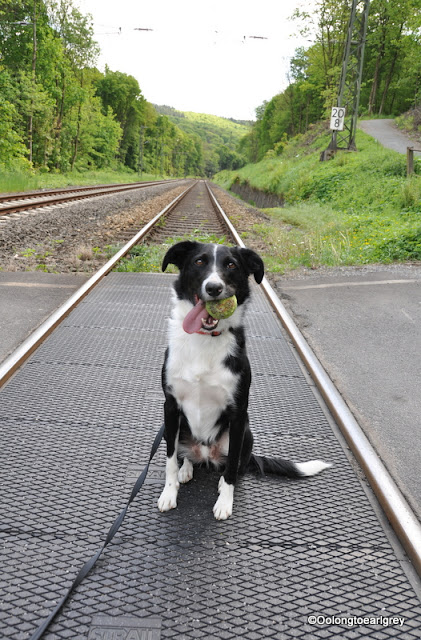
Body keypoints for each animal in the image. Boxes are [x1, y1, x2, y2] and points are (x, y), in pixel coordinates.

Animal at [157, 241, 328, 520]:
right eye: (199, 261)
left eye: (231, 265)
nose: (214, 288)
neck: (205, 341)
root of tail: (206, 454)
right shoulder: (170, 407)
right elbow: (170, 460)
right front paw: (169, 493)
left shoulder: (238, 413)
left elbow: (231, 470)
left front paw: (225, 502)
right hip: (171, 428)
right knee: (185, 455)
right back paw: (187, 469)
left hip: (248, 434)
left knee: (237, 465)